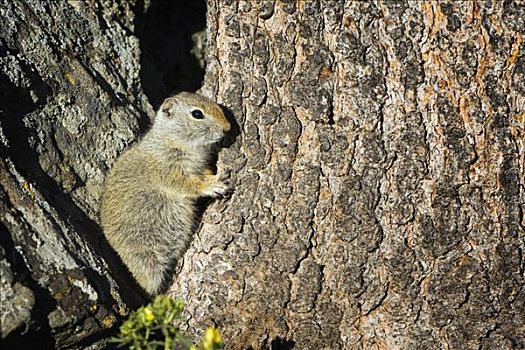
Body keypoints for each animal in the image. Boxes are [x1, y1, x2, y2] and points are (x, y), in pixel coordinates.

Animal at [101, 92, 231, 296]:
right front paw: (213, 184)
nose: (228, 127)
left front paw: (213, 175)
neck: (171, 138)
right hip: (146, 260)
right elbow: (189, 185)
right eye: (197, 114)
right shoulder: (169, 170)